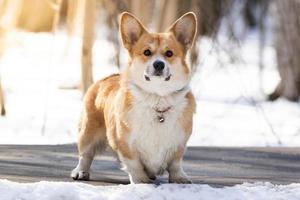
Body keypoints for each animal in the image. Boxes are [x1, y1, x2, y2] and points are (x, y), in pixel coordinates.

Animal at [70, 11, 197, 184]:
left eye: (169, 53)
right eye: (147, 52)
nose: (159, 64)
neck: (157, 98)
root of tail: (108, 76)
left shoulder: (179, 143)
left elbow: (176, 163)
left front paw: (179, 178)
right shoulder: (125, 143)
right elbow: (134, 164)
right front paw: (140, 180)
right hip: (87, 132)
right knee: (85, 155)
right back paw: (80, 171)